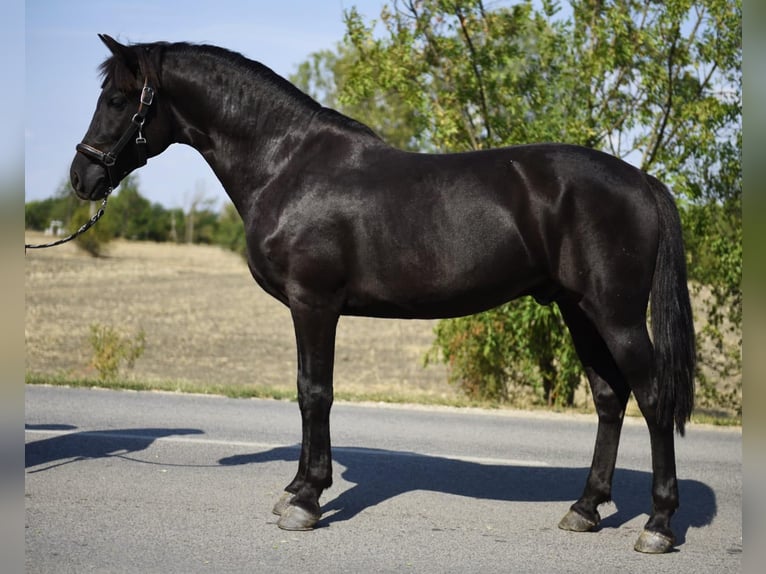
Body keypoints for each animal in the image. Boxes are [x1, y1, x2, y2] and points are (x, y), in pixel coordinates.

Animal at [69, 34, 695, 554]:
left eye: (119, 100)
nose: (82, 178)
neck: (286, 163)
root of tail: (642, 181)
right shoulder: (309, 308)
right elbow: (305, 390)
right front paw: (295, 487)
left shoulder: (314, 303)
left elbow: (315, 393)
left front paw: (306, 501)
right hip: (577, 310)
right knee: (610, 398)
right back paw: (585, 509)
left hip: (615, 315)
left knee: (652, 396)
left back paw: (658, 525)